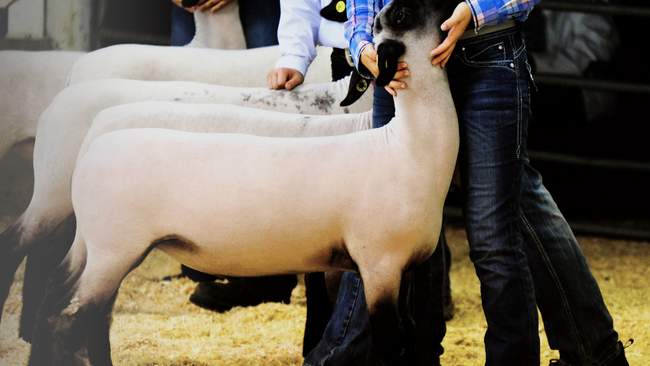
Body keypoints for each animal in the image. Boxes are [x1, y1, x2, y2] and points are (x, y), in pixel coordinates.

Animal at [29, 0, 456, 364]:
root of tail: (92, 149)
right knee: (68, 319)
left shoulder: (402, 269)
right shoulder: (378, 264)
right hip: (113, 249)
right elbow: (390, 345)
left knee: (60, 301)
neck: (405, 149)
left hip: (93, 246)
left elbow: (411, 334)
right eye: (401, 13)